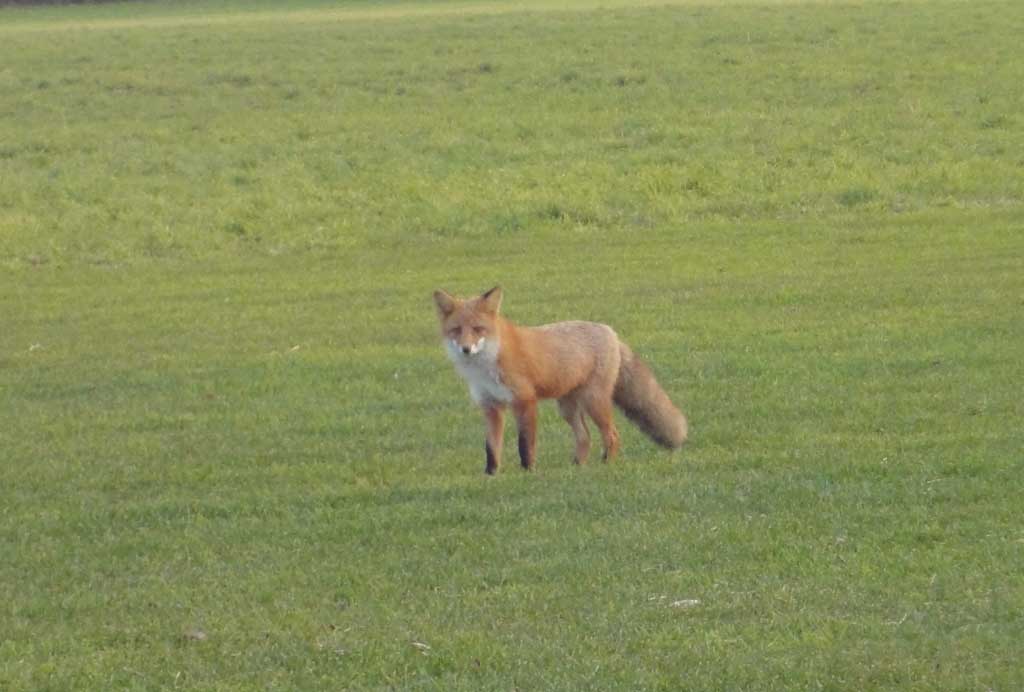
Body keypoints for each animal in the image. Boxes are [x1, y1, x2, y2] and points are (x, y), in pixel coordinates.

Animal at [433, 285, 688, 474]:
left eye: (478, 329)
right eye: (457, 330)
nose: (466, 349)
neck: (487, 364)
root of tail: (610, 331)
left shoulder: (525, 401)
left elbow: (525, 443)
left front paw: (528, 471)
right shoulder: (491, 407)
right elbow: (492, 448)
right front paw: (491, 475)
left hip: (594, 402)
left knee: (612, 435)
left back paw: (606, 464)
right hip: (567, 408)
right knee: (585, 437)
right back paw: (577, 466)